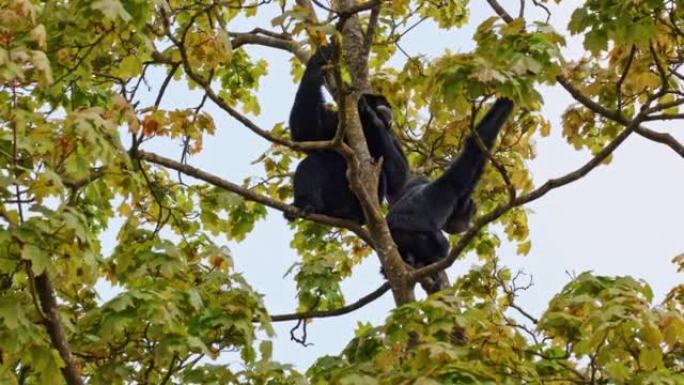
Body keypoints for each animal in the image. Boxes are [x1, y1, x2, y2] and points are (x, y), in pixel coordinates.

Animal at [286, 46, 408, 222]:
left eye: (387, 105)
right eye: (383, 103)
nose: (389, 109)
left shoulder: (391, 134)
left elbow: (399, 178)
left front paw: (369, 114)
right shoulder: (335, 121)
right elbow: (305, 133)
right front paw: (317, 61)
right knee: (315, 160)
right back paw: (305, 204)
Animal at [384, 97, 512, 290]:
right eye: (469, 214)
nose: (467, 223)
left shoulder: (416, 181)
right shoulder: (453, 185)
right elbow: (474, 148)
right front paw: (506, 102)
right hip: (408, 237)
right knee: (441, 245)